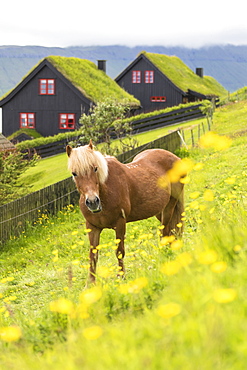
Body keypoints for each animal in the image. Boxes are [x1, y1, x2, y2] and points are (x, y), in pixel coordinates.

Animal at [66, 142, 184, 284]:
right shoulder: (92, 227)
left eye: (95, 169)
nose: (93, 202)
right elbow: (93, 255)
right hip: (159, 210)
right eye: (74, 173)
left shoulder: (120, 223)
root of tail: (174, 157)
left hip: (170, 205)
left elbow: (119, 251)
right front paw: (90, 284)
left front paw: (121, 276)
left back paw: (165, 253)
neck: (105, 191)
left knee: (165, 230)